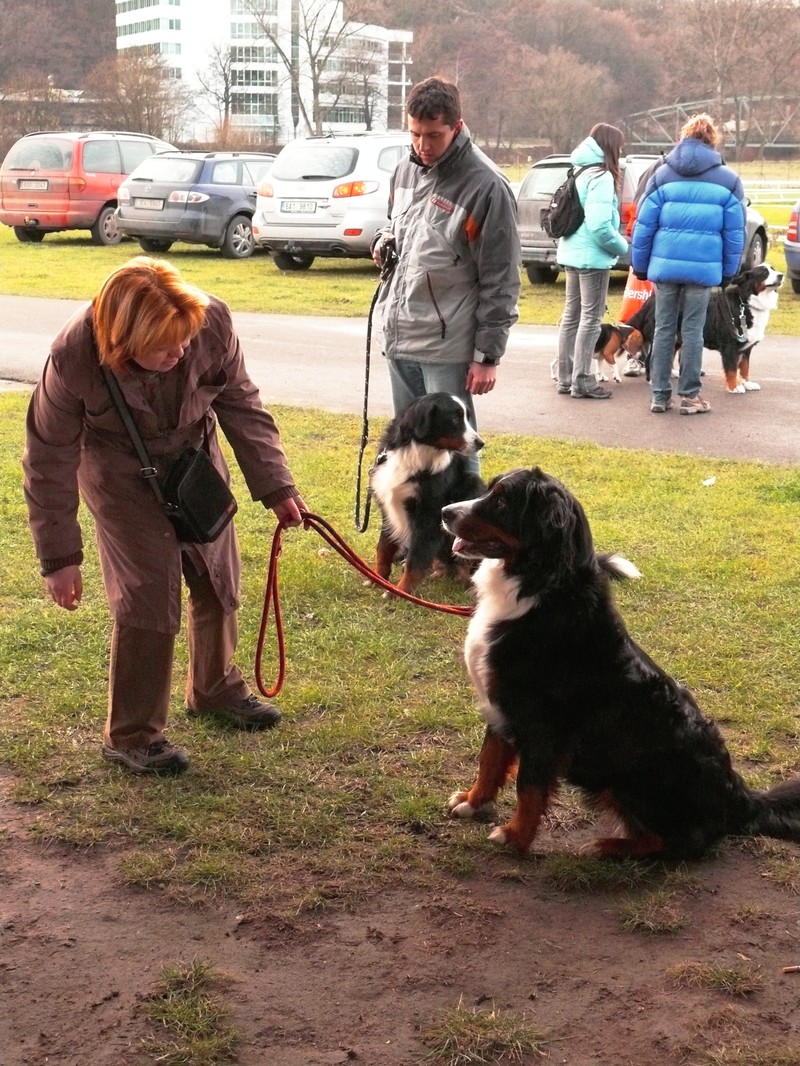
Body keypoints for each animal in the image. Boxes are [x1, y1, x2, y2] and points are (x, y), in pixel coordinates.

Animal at [369, 394, 486, 596]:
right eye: (456, 418)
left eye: (466, 417)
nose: (480, 443)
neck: (417, 454)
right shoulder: (389, 509)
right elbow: (383, 548)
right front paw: (378, 579)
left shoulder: (428, 517)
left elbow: (414, 561)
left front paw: (398, 592)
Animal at [441, 471, 800, 861]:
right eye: (491, 490)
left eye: (503, 502)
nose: (445, 512)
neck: (540, 588)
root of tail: (740, 796)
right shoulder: (498, 707)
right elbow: (489, 761)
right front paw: (473, 802)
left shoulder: (541, 724)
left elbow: (529, 787)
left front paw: (515, 837)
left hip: (629, 781)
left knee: (677, 842)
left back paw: (606, 846)